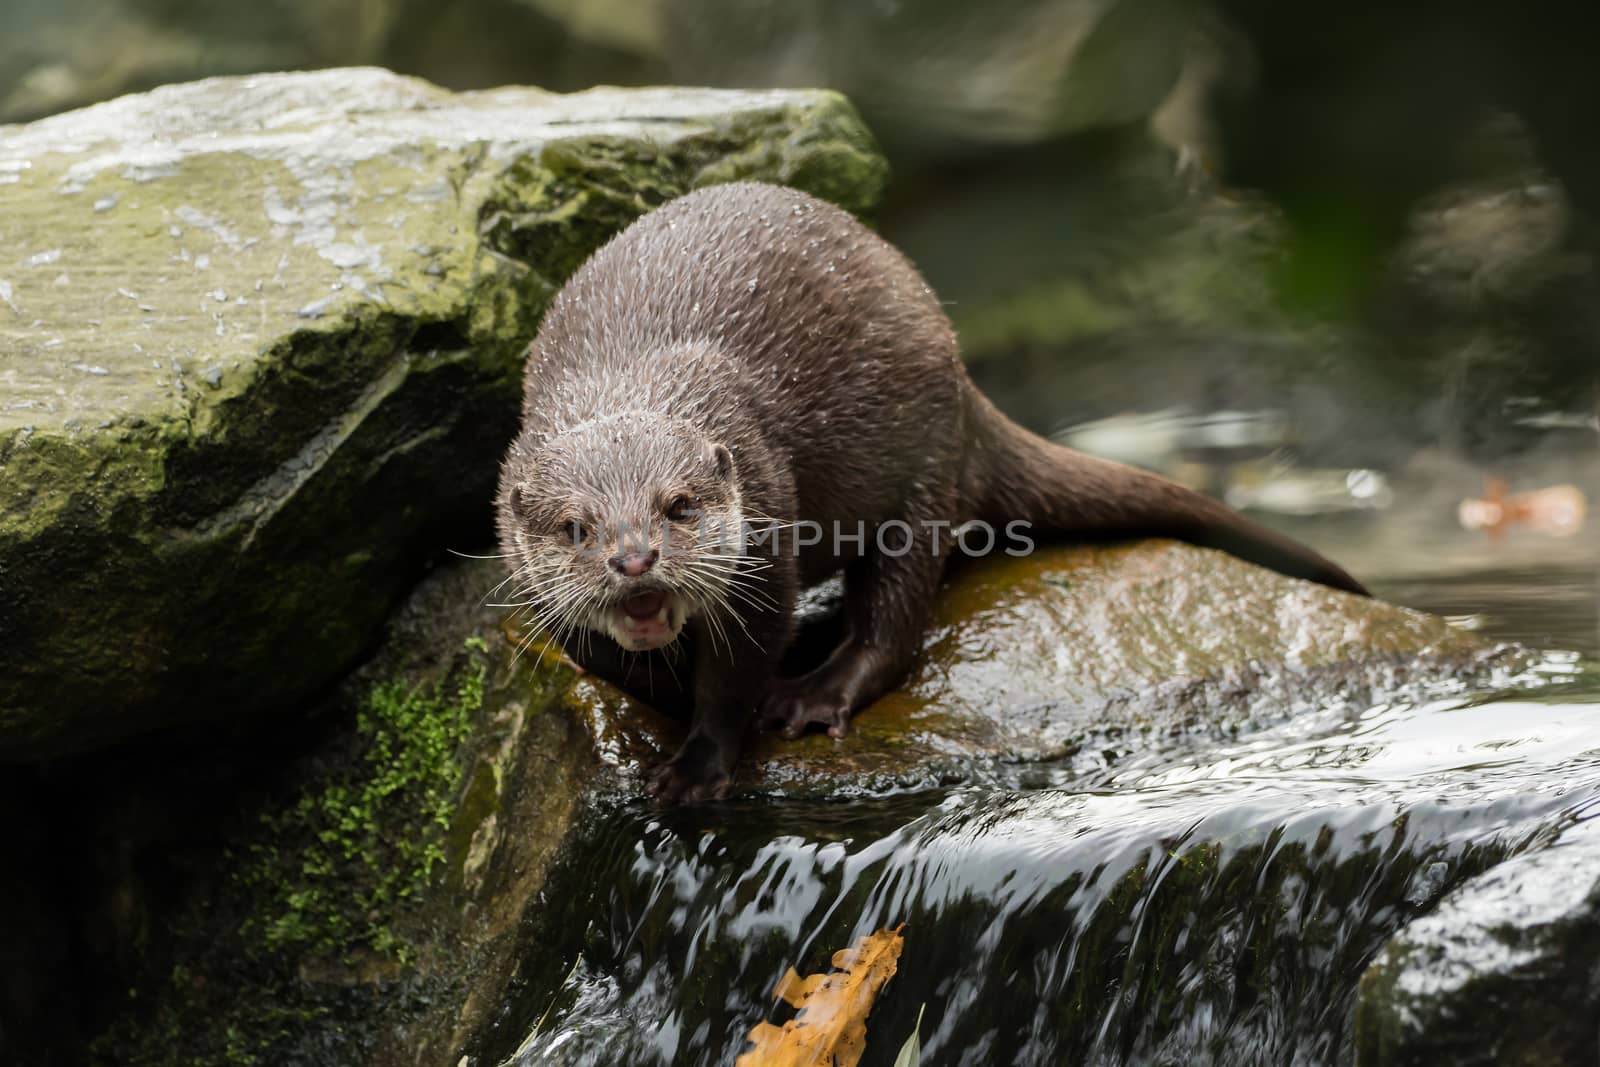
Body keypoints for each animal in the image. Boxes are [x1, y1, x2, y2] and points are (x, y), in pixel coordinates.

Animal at [492, 181, 1369, 799]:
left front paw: (702, 761)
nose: (635, 560)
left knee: (895, 619)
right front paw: (664, 696)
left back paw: (819, 692)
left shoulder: (766, 534)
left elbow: (739, 671)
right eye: (575, 528)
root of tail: (958, 371)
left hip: (924, 473)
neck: (629, 381)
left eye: (678, 505)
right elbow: (604, 654)